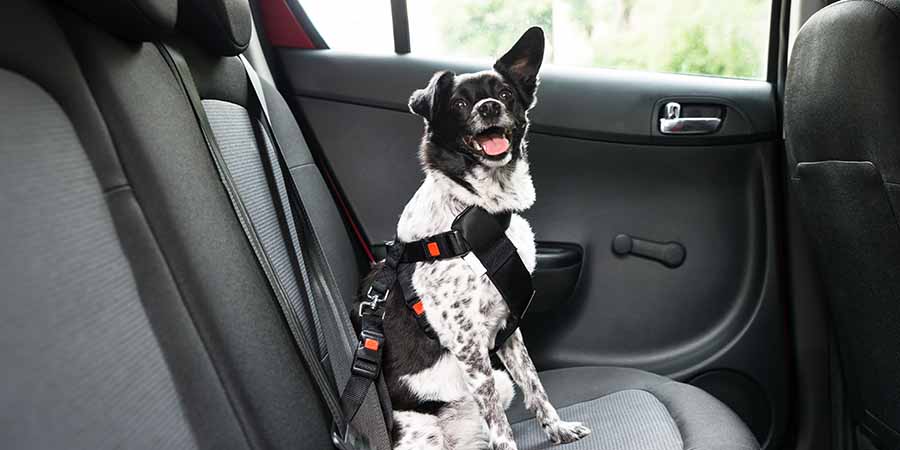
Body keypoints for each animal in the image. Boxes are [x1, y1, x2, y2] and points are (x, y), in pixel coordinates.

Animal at [358, 28, 592, 450]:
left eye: (505, 94)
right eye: (460, 103)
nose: (488, 107)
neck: (475, 209)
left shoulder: (508, 326)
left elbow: (535, 386)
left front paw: (558, 430)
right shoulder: (467, 342)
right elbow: (499, 422)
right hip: (423, 433)